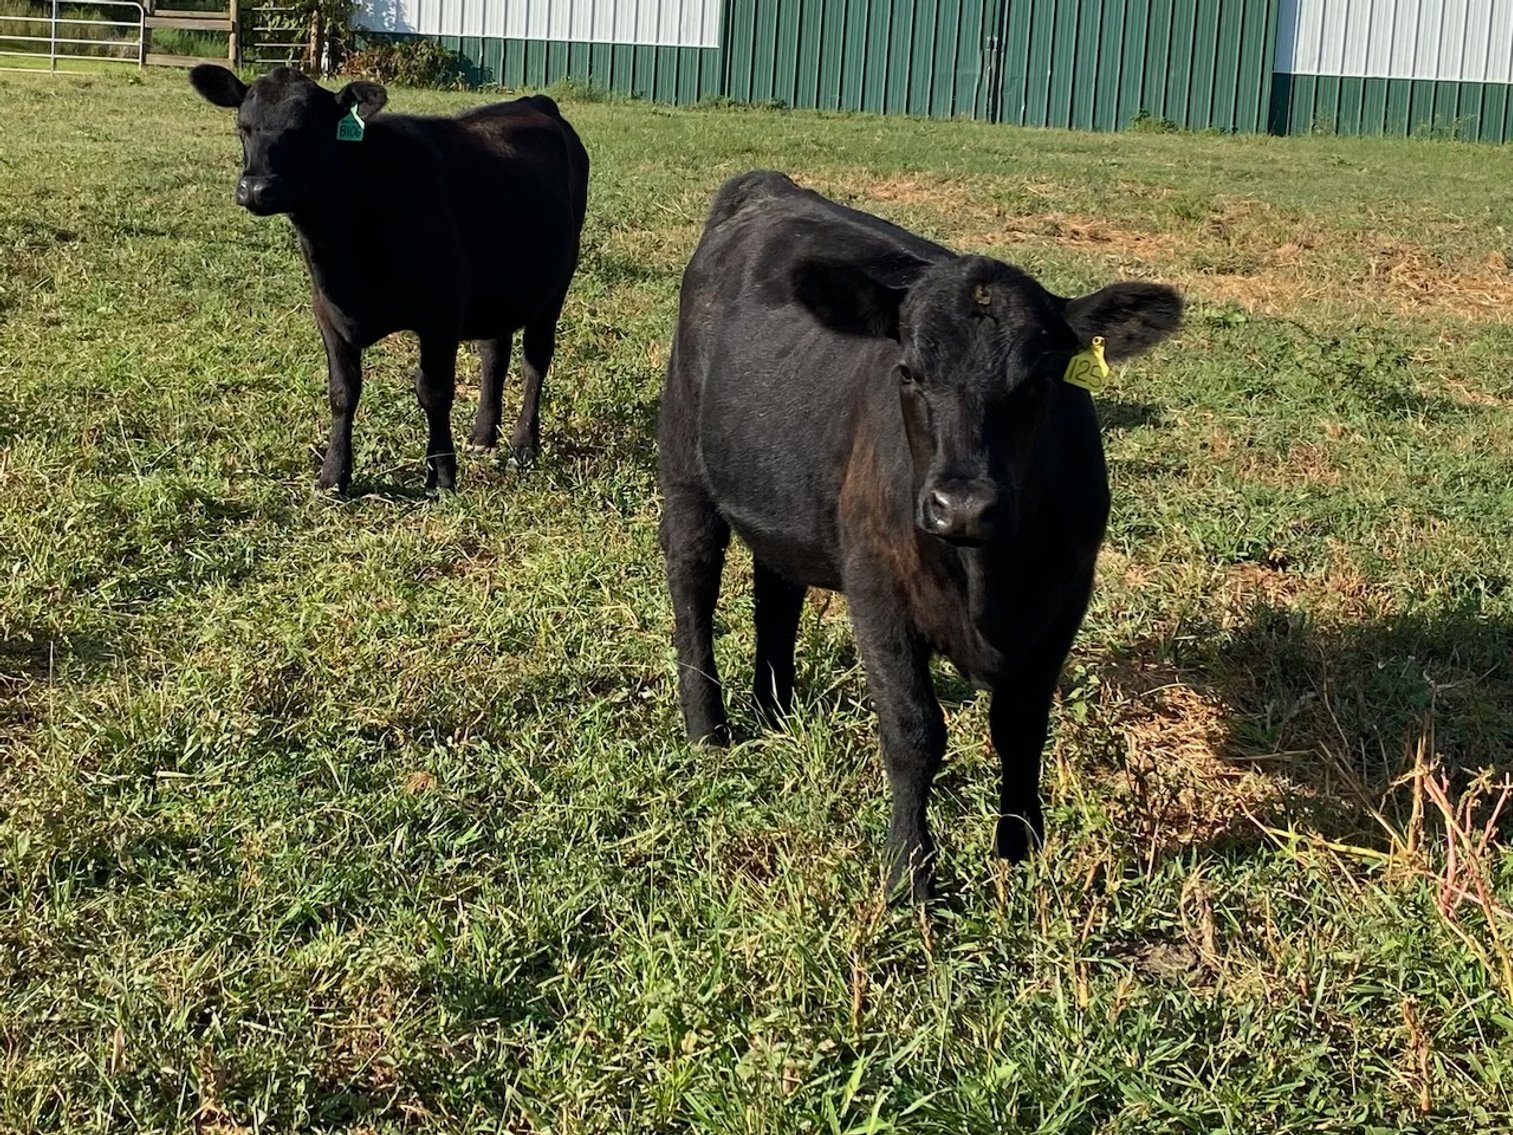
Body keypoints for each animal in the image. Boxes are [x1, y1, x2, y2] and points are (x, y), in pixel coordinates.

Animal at [189, 65, 589, 493]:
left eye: (303, 129)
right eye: (243, 126)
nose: (255, 188)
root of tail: (534, 101)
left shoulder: (442, 311)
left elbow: (434, 392)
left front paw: (441, 475)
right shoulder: (326, 310)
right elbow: (342, 392)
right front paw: (333, 475)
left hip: (557, 282)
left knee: (535, 360)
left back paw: (523, 445)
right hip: (501, 286)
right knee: (494, 351)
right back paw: (483, 435)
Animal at [658, 171, 1182, 901]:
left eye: (1040, 380)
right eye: (908, 372)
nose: (961, 506)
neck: (988, 581)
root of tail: (767, 186)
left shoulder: (1064, 598)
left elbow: (1021, 727)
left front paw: (1020, 854)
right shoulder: (877, 588)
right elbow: (914, 731)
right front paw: (910, 875)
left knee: (776, 591)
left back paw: (775, 709)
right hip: (684, 465)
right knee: (693, 585)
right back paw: (708, 728)